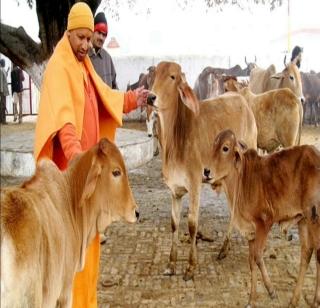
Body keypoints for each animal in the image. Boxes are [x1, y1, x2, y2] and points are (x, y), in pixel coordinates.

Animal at [148, 61, 258, 280]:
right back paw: (225, 248)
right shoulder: (174, 190)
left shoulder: (194, 185)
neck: (175, 139)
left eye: (172, 77)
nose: (150, 97)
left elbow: (192, 225)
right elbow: (174, 223)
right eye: (154, 75)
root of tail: (241, 98)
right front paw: (171, 264)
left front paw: (191, 266)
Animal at [204, 130, 320, 308]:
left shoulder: (264, 223)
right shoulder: (250, 232)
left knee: (318, 254)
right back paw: (294, 300)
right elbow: (251, 261)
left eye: (225, 148)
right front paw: (252, 299)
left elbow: (258, 256)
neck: (242, 180)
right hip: (303, 220)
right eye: (213, 146)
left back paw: (315, 301)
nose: (206, 171)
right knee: (307, 253)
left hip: (315, 219)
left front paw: (271, 290)